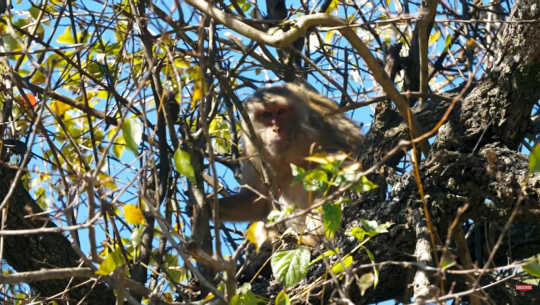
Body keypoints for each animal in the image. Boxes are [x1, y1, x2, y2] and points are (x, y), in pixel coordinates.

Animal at [217, 82, 364, 242]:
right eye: (266, 115)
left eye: (281, 111)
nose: (276, 129)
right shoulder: (252, 151)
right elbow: (256, 200)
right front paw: (211, 206)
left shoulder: (321, 124)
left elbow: (350, 154)